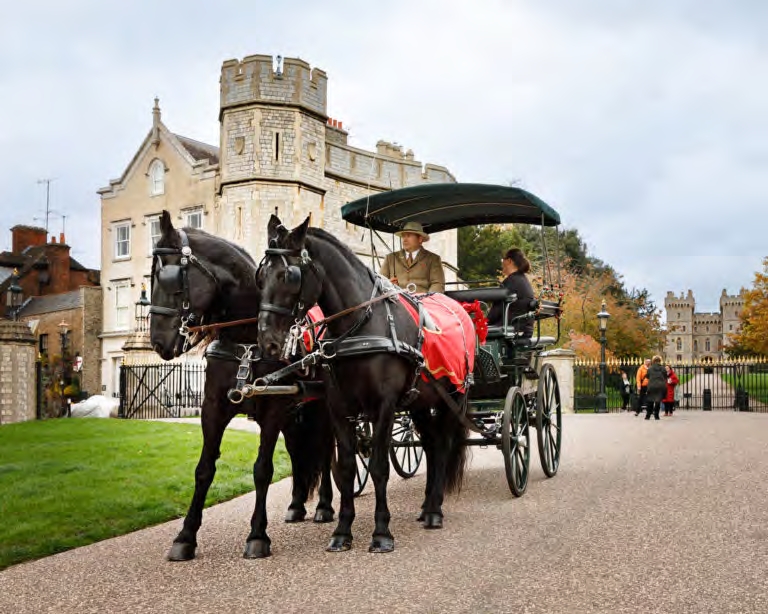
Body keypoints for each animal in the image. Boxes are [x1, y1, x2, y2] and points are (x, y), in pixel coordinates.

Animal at [148, 210, 334, 561]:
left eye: (169, 278)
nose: (158, 342)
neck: (247, 341)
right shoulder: (214, 407)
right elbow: (204, 469)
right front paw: (185, 537)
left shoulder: (273, 408)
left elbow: (262, 469)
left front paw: (257, 535)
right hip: (294, 414)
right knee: (298, 451)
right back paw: (297, 504)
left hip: (321, 409)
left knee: (328, 451)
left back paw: (325, 506)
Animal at [256, 215, 471, 553]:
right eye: (261, 275)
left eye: (288, 275)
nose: (267, 341)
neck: (361, 326)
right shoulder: (338, 407)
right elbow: (345, 467)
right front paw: (342, 531)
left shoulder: (383, 407)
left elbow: (380, 467)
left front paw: (381, 532)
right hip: (421, 403)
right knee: (432, 446)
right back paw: (426, 507)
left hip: (453, 397)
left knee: (444, 445)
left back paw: (435, 511)